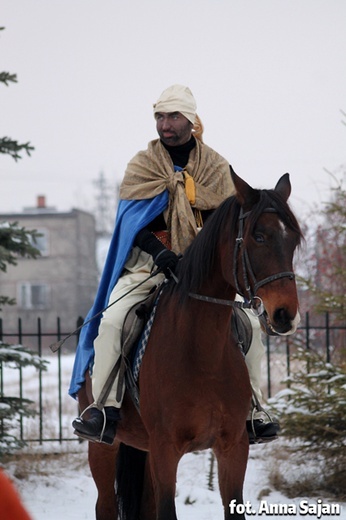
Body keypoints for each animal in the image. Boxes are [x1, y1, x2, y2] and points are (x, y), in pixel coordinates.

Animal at [76, 169, 302, 516]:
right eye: (259, 236)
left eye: (293, 239)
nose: (285, 315)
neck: (202, 353)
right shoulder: (165, 450)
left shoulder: (233, 448)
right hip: (103, 448)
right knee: (105, 504)